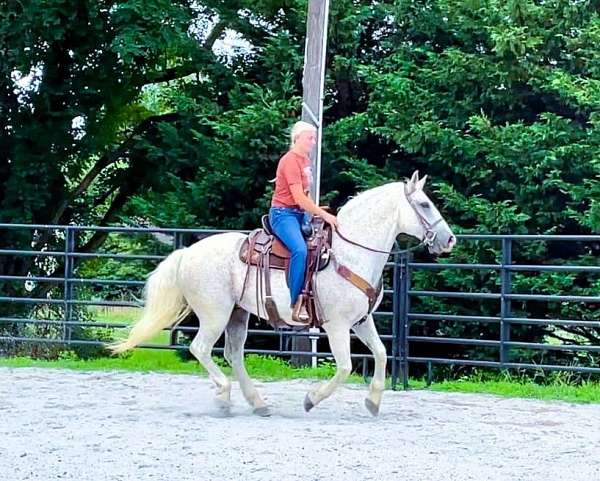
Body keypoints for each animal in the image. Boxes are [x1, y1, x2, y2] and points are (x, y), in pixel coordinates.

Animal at [109, 172, 454, 416]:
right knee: (201, 348)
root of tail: (187, 252)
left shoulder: (360, 321)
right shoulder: (337, 326)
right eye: (424, 204)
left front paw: (373, 402)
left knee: (233, 354)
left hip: (237, 315)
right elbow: (345, 367)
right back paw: (224, 396)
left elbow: (381, 354)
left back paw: (258, 403)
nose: (449, 239)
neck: (349, 253)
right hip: (214, 314)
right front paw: (311, 399)